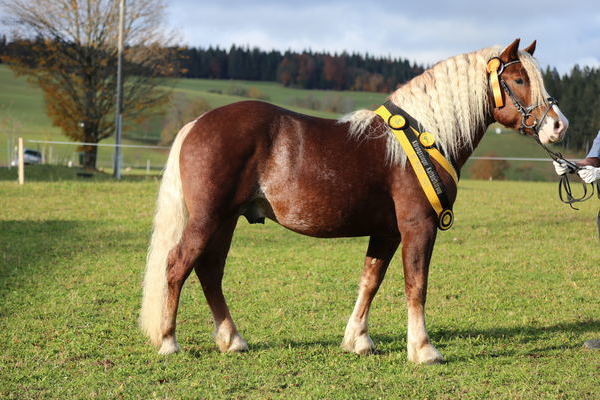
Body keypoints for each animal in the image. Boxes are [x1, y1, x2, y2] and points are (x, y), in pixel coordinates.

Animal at [139, 39, 568, 364]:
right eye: (518, 78)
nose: (558, 125)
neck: (423, 139)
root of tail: (197, 123)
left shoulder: (387, 232)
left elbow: (370, 280)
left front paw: (358, 340)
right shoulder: (418, 227)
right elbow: (416, 283)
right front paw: (423, 349)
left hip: (226, 220)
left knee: (209, 270)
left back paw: (232, 339)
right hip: (208, 218)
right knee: (178, 265)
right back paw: (169, 342)